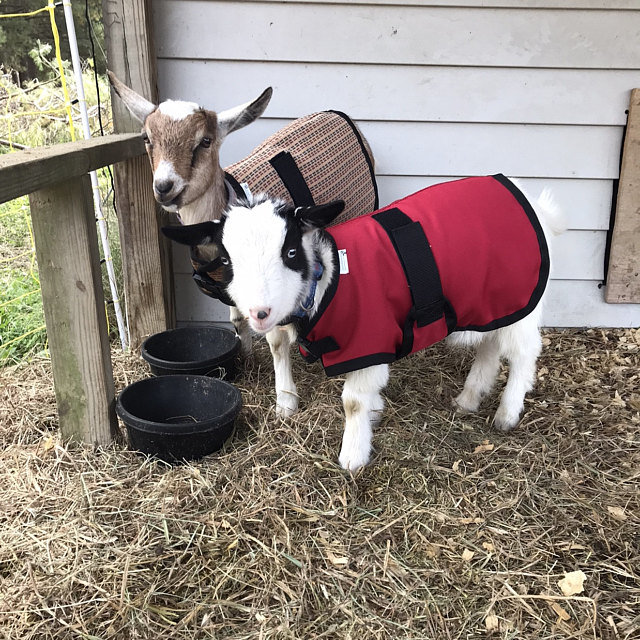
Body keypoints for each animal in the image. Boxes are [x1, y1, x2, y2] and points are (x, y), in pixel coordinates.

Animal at [162, 175, 564, 470]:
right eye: (227, 261)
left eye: (290, 252)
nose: (259, 312)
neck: (325, 280)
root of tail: (535, 205)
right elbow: (278, 348)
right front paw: (288, 404)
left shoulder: (368, 338)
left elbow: (353, 401)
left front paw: (353, 457)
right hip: (495, 302)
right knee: (491, 346)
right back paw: (468, 398)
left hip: (521, 298)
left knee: (524, 353)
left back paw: (507, 413)